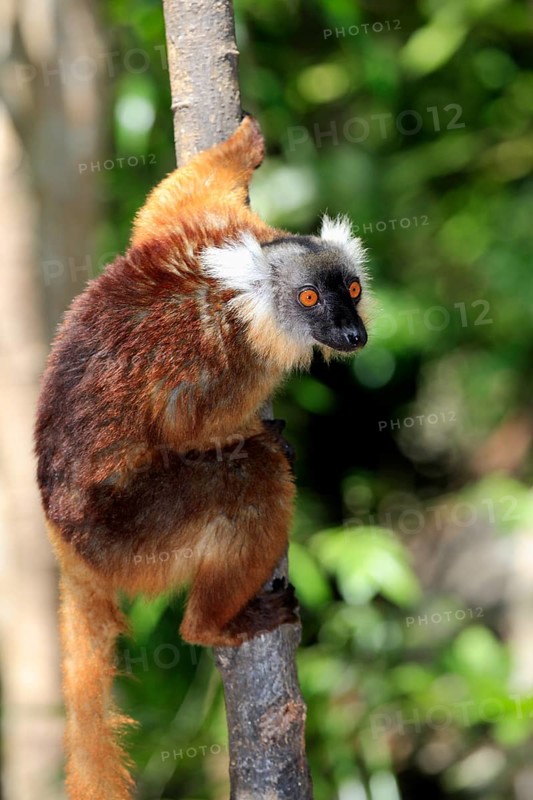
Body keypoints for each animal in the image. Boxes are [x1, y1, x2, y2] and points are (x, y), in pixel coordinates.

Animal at [34, 116, 369, 800]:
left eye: (350, 289)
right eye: (308, 299)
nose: (354, 334)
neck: (241, 296)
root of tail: (66, 543)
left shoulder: (207, 226)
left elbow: (166, 205)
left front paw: (243, 145)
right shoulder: (226, 363)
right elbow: (187, 429)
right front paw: (259, 430)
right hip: (131, 535)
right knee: (251, 478)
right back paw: (214, 625)